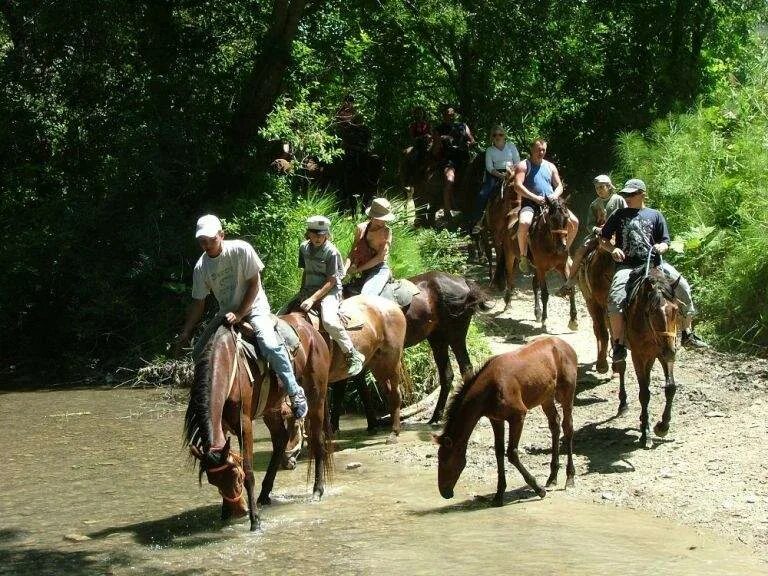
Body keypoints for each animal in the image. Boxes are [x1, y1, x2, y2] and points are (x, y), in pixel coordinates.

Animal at [184, 316, 334, 532]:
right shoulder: (222, 425)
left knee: (317, 441)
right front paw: (225, 514)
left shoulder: (244, 424)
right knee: (280, 440)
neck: (226, 366)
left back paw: (317, 491)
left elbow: (249, 471)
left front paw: (255, 521)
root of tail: (312, 331)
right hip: (271, 408)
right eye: (213, 481)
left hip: (317, 397)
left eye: (236, 476)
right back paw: (264, 496)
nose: (239, 511)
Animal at [432, 336, 576, 506]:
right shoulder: (496, 419)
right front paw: (499, 494)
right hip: (546, 398)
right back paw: (552, 477)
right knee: (555, 425)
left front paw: (539, 489)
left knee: (568, 427)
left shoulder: (518, 415)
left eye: (445, 460)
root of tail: (566, 345)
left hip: (567, 393)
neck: (489, 390)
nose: (445, 492)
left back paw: (570, 477)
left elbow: (512, 453)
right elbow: (499, 452)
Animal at [496, 194, 580, 330]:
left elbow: (570, 289)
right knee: (509, 277)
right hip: (510, 256)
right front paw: (545, 319)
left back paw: (537, 312)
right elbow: (545, 294)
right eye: (552, 219)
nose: (562, 246)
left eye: (567, 219)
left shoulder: (561, 267)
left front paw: (573, 320)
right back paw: (508, 303)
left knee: (534, 285)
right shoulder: (541, 268)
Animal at [616, 258, 680, 450]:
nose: (670, 350)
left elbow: (671, 387)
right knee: (621, 367)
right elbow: (644, 393)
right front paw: (646, 434)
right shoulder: (638, 355)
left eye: (676, 310)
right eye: (652, 311)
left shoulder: (664, 353)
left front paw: (662, 426)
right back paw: (623, 404)